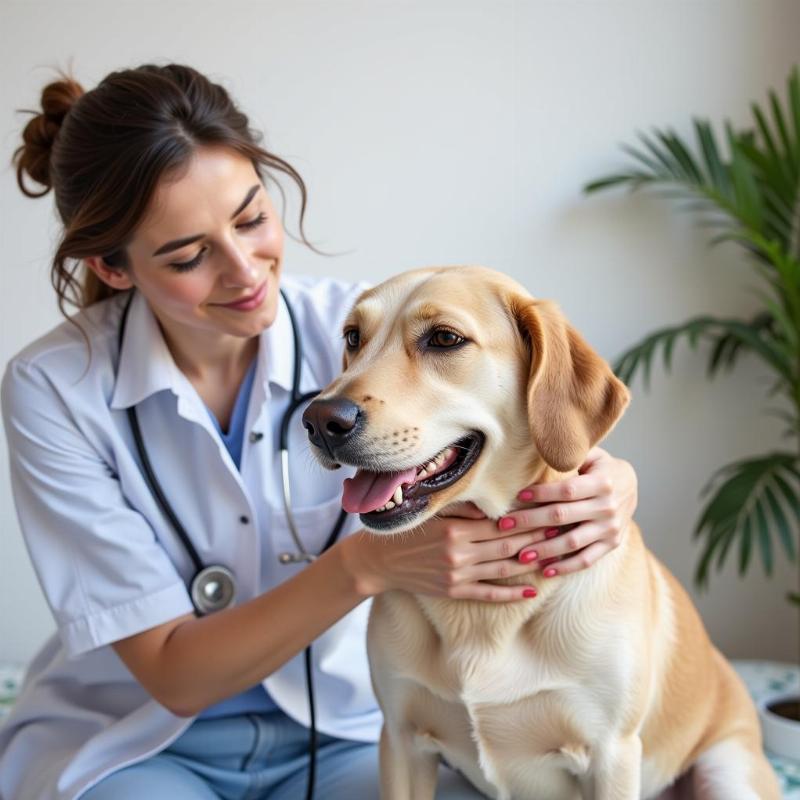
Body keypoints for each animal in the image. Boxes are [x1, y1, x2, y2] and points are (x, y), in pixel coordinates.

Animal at [302, 266, 780, 796]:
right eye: (353, 337)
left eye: (445, 338)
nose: (319, 419)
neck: (483, 613)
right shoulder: (402, 741)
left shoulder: (611, 755)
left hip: (728, 772)